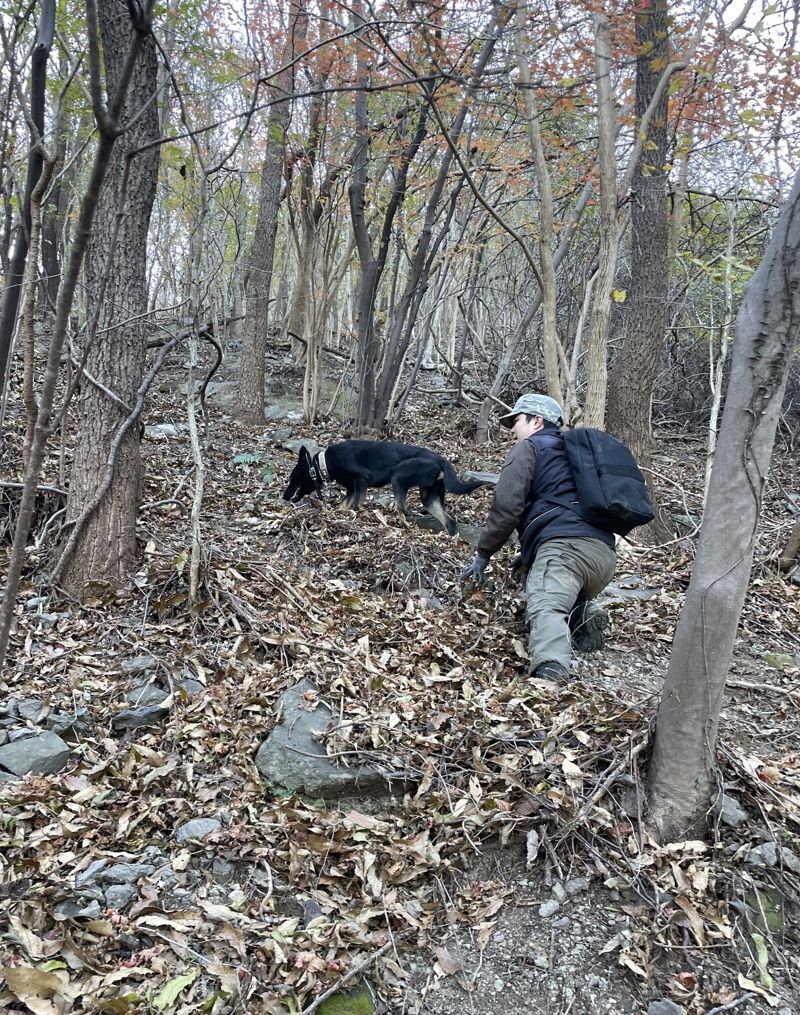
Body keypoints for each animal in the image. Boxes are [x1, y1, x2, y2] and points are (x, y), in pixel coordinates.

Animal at [282, 438, 481, 535]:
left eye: (292, 478)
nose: (283, 496)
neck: (323, 464)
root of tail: (440, 459)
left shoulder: (362, 480)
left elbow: (356, 506)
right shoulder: (352, 488)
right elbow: (343, 507)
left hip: (398, 476)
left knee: (404, 510)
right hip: (429, 497)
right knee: (449, 521)